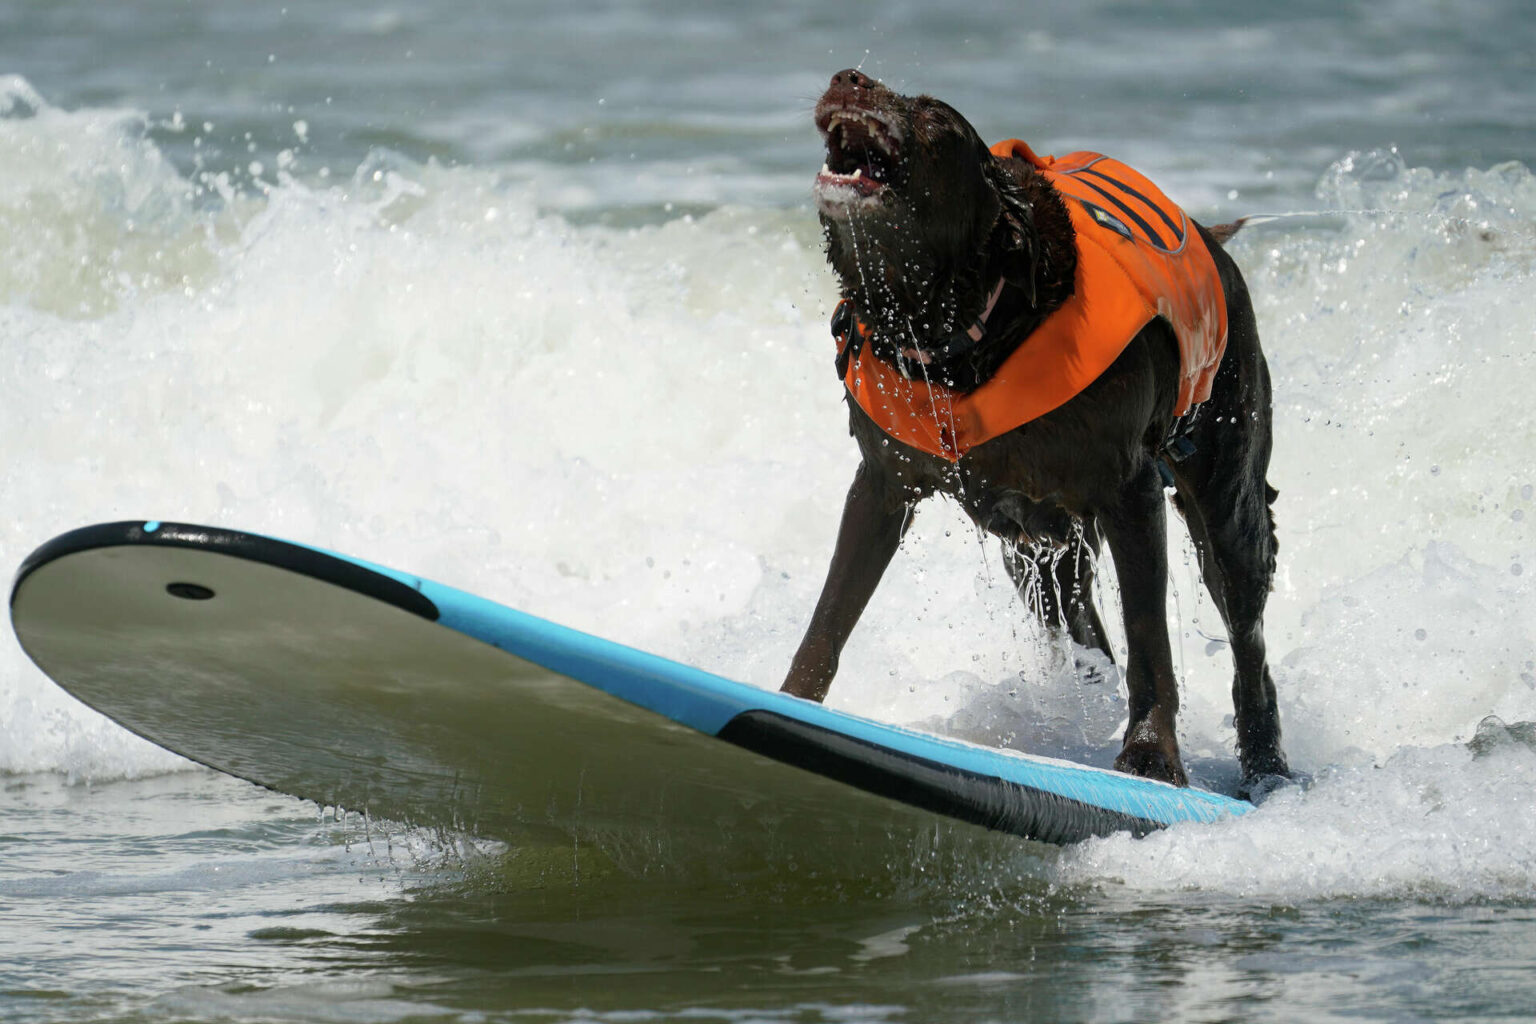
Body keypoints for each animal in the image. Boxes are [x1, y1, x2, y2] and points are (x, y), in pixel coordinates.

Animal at [786, 70, 1290, 792]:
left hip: (1225, 489)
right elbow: (829, 618)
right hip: (1036, 547)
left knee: (1246, 631)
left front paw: (1152, 757)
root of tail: (1211, 238)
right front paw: (789, 700)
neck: (967, 336)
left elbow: (1150, 638)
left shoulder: (1130, 491)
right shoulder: (883, 485)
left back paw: (1266, 767)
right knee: (1081, 617)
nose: (847, 79)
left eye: (935, 116)